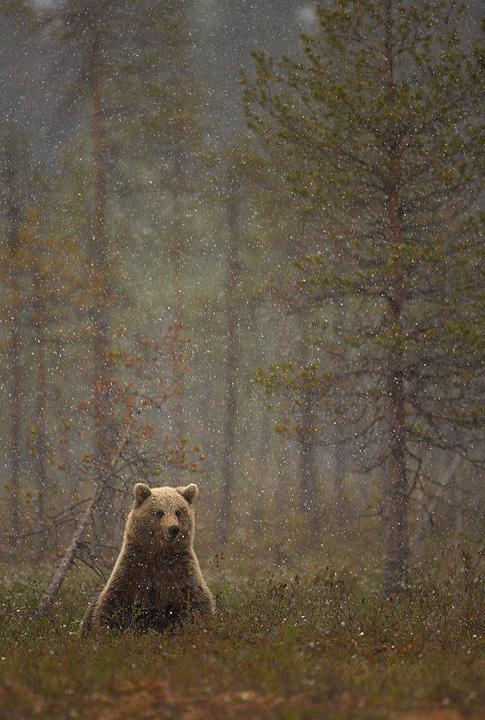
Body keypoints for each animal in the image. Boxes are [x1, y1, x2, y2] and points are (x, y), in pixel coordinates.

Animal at [80, 482, 214, 635]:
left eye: (178, 512)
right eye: (160, 512)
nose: (173, 528)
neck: (159, 554)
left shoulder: (181, 572)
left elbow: (196, 603)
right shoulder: (133, 571)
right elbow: (113, 605)